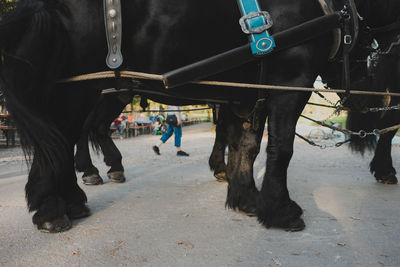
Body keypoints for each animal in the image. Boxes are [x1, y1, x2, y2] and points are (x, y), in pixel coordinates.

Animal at [0, 0, 396, 233]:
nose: (378, 99)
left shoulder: (246, 91)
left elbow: (246, 146)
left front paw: (245, 198)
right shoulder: (290, 83)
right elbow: (280, 149)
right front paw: (281, 210)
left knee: (67, 138)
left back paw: (73, 195)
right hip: (81, 88)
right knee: (63, 139)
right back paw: (55, 206)